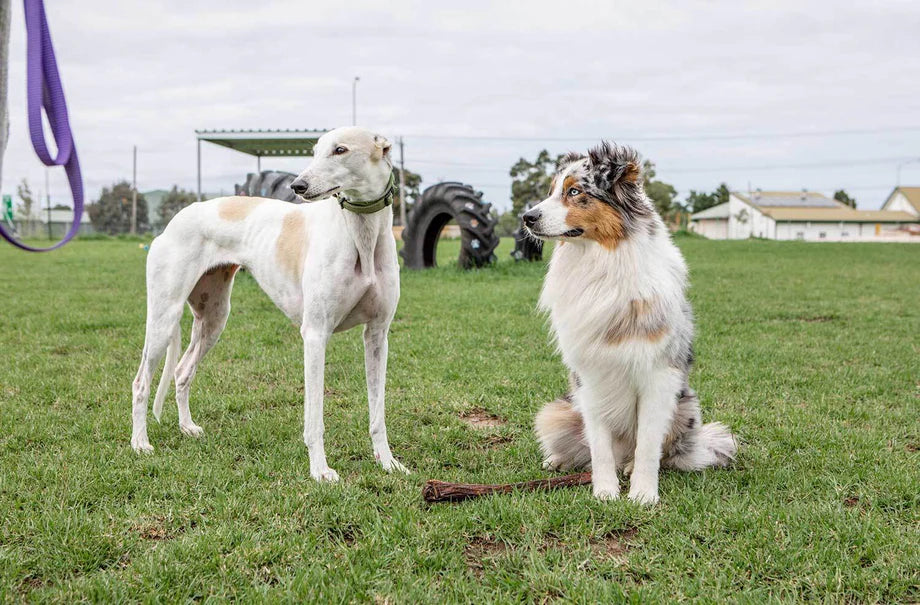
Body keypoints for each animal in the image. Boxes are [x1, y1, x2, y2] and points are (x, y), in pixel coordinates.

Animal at [129, 126, 406, 482]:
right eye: (314, 151)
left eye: (340, 150)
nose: (298, 185)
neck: (361, 235)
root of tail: (178, 218)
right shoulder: (315, 334)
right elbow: (315, 417)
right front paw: (321, 470)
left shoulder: (377, 335)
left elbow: (377, 413)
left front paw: (387, 462)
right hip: (164, 318)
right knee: (140, 382)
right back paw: (140, 443)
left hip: (213, 319)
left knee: (182, 370)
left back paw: (187, 427)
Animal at [520, 143, 736, 504]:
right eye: (551, 191)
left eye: (574, 191)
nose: (527, 217)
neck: (602, 263)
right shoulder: (589, 377)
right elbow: (599, 446)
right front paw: (605, 491)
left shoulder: (659, 376)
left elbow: (648, 444)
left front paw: (643, 494)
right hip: (557, 411)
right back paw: (558, 461)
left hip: (686, 407)